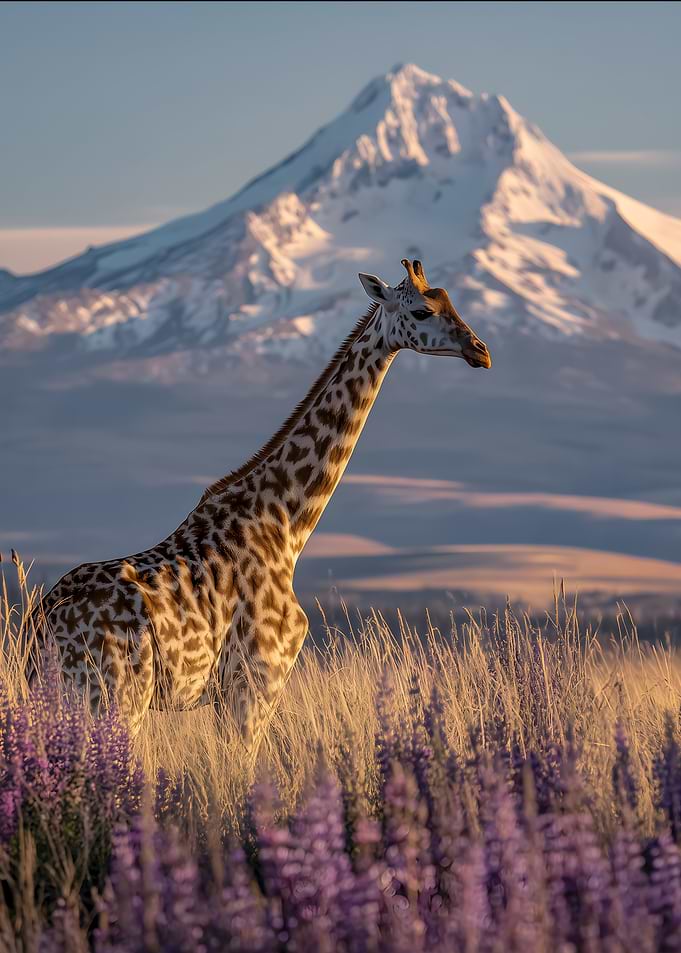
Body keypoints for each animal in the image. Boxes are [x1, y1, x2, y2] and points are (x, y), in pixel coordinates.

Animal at [34, 258, 491, 747]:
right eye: (423, 311)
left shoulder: (232, 694)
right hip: (115, 697)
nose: (481, 351)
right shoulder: (256, 683)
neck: (286, 522)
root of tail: (39, 625)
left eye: (451, 301)